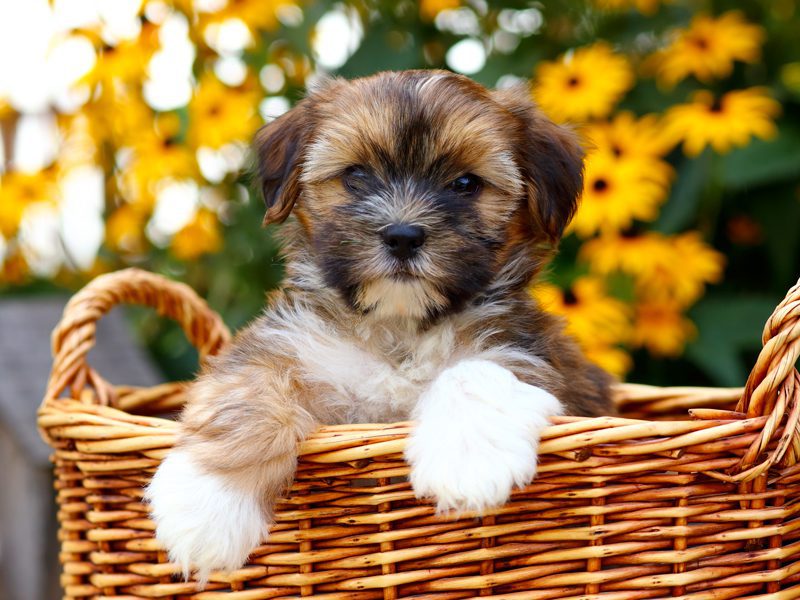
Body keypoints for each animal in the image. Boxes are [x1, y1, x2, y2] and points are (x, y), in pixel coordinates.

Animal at [145, 70, 612, 580]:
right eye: (356, 175)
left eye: (466, 183)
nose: (403, 235)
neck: (398, 326)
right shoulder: (286, 345)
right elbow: (244, 393)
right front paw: (206, 505)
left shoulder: (522, 350)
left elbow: (474, 372)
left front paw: (468, 458)